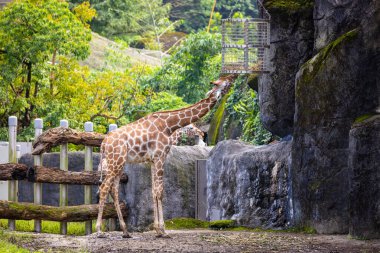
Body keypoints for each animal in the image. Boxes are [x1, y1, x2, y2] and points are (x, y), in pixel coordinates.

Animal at [95, 74, 238, 238]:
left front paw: (157, 229)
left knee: (114, 190)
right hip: (116, 162)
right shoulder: (160, 157)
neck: (169, 125)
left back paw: (125, 231)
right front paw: (163, 230)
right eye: (224, 82)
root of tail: (104, 143)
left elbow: (153, 191)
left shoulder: (152, 160)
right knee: (104, 188)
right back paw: (99, 230)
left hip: (119, 163)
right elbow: (160, 192)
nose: (234, 77)